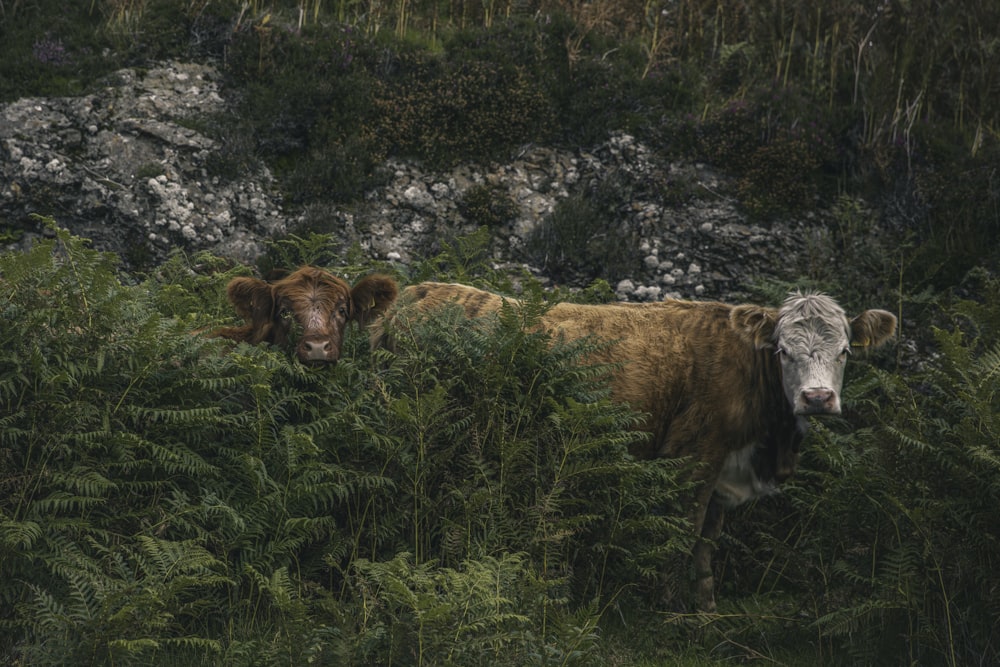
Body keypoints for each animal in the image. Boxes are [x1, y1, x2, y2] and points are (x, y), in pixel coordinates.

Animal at [376, 282, 900, 612]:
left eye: (845, 351)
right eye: (782, 351)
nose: (817, 398)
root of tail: (415, 292)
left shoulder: (720, 472)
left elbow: (706, 543)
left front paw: (707, 609)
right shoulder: (693, 457)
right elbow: (682, 534)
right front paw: (670, 610)